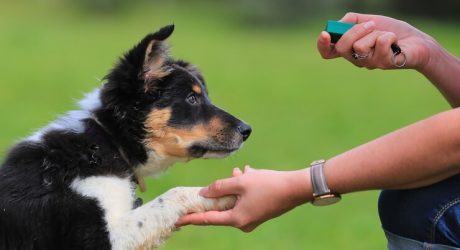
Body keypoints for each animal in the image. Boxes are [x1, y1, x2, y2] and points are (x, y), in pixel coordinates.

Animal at [0, 23, 252, 250]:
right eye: (192, 98)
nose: (247, 130)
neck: (106, 141)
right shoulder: (98, 238)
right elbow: (174, 194)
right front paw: (226, 193)